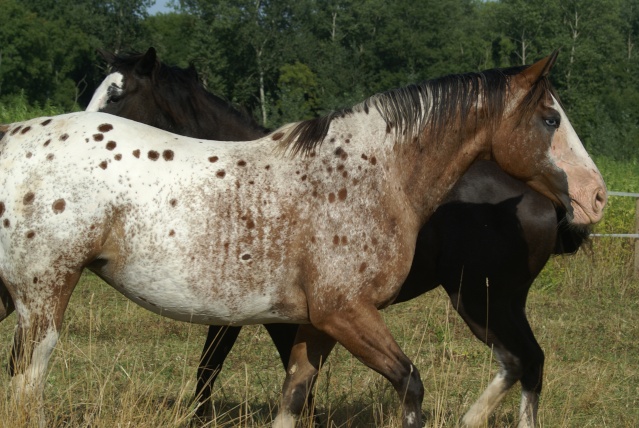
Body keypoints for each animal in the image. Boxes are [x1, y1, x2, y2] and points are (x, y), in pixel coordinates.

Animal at [0, 51, 608, 426]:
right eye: (551, 119)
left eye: (118, 93)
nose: (597, 195)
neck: (371, 173)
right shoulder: (344, 314)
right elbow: (409, 386)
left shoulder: (317, 323)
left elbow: (294, 396)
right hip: (41, 295)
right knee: (28, 381)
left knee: (523, 361)